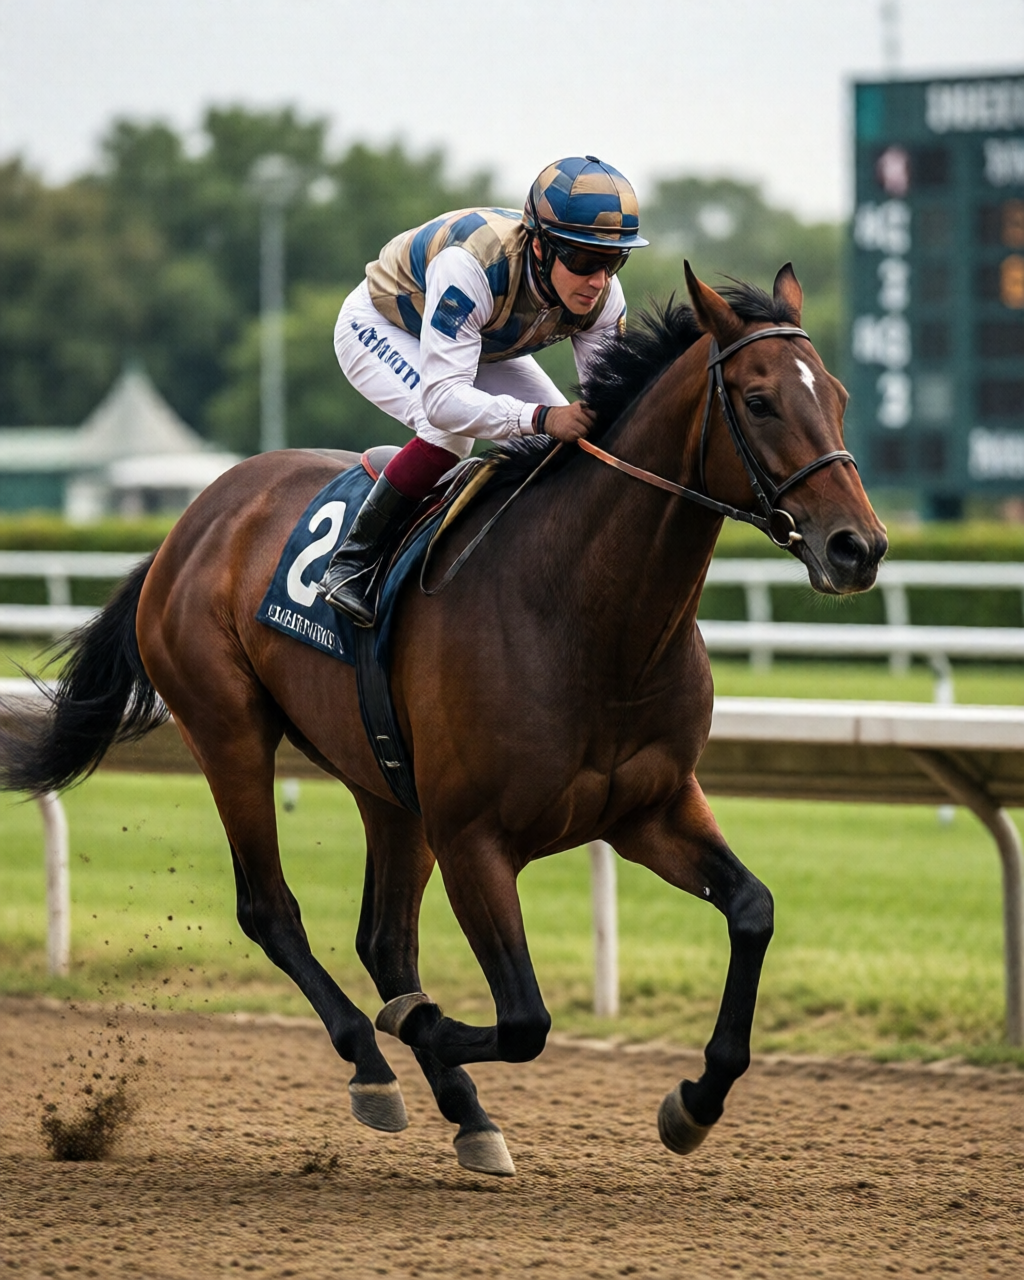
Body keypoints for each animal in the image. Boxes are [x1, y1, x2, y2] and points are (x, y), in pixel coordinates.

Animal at [1, 264, 887, 1177]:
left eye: (840, 396)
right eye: (759, 400)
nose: (858, 547)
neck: (588, 618)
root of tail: (191, 521)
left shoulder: (649, 807)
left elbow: (752, 910)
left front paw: (694, 1102)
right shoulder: (473, 837)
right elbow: (525, 1019)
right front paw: (414, 1026)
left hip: (386, 781)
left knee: (384, 940)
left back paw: (466, 1112)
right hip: (229, 731)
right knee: (272, 910)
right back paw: (373, 1062)